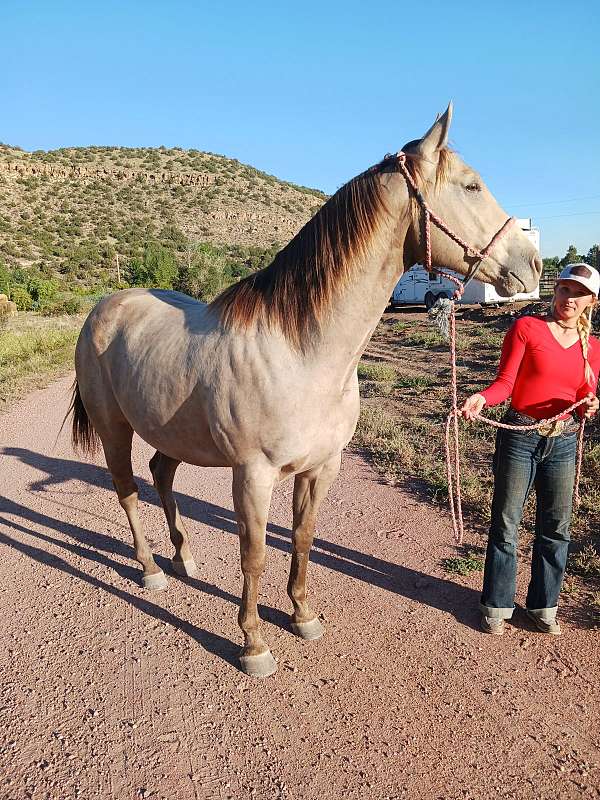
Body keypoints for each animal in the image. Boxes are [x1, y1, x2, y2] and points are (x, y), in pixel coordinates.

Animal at [71, 101, 544, 676]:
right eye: (472, 185)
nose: (532, 265)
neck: (302, 352)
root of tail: (105, 307)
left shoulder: (320, 467)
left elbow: (302, 538)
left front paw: (302, 616)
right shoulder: (253, 474)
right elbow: (254, 553)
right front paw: (253, 643)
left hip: (171, 434)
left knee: (161, 476)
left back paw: (183, 558)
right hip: (114, 429)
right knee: (127, 491)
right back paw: (150, 569)